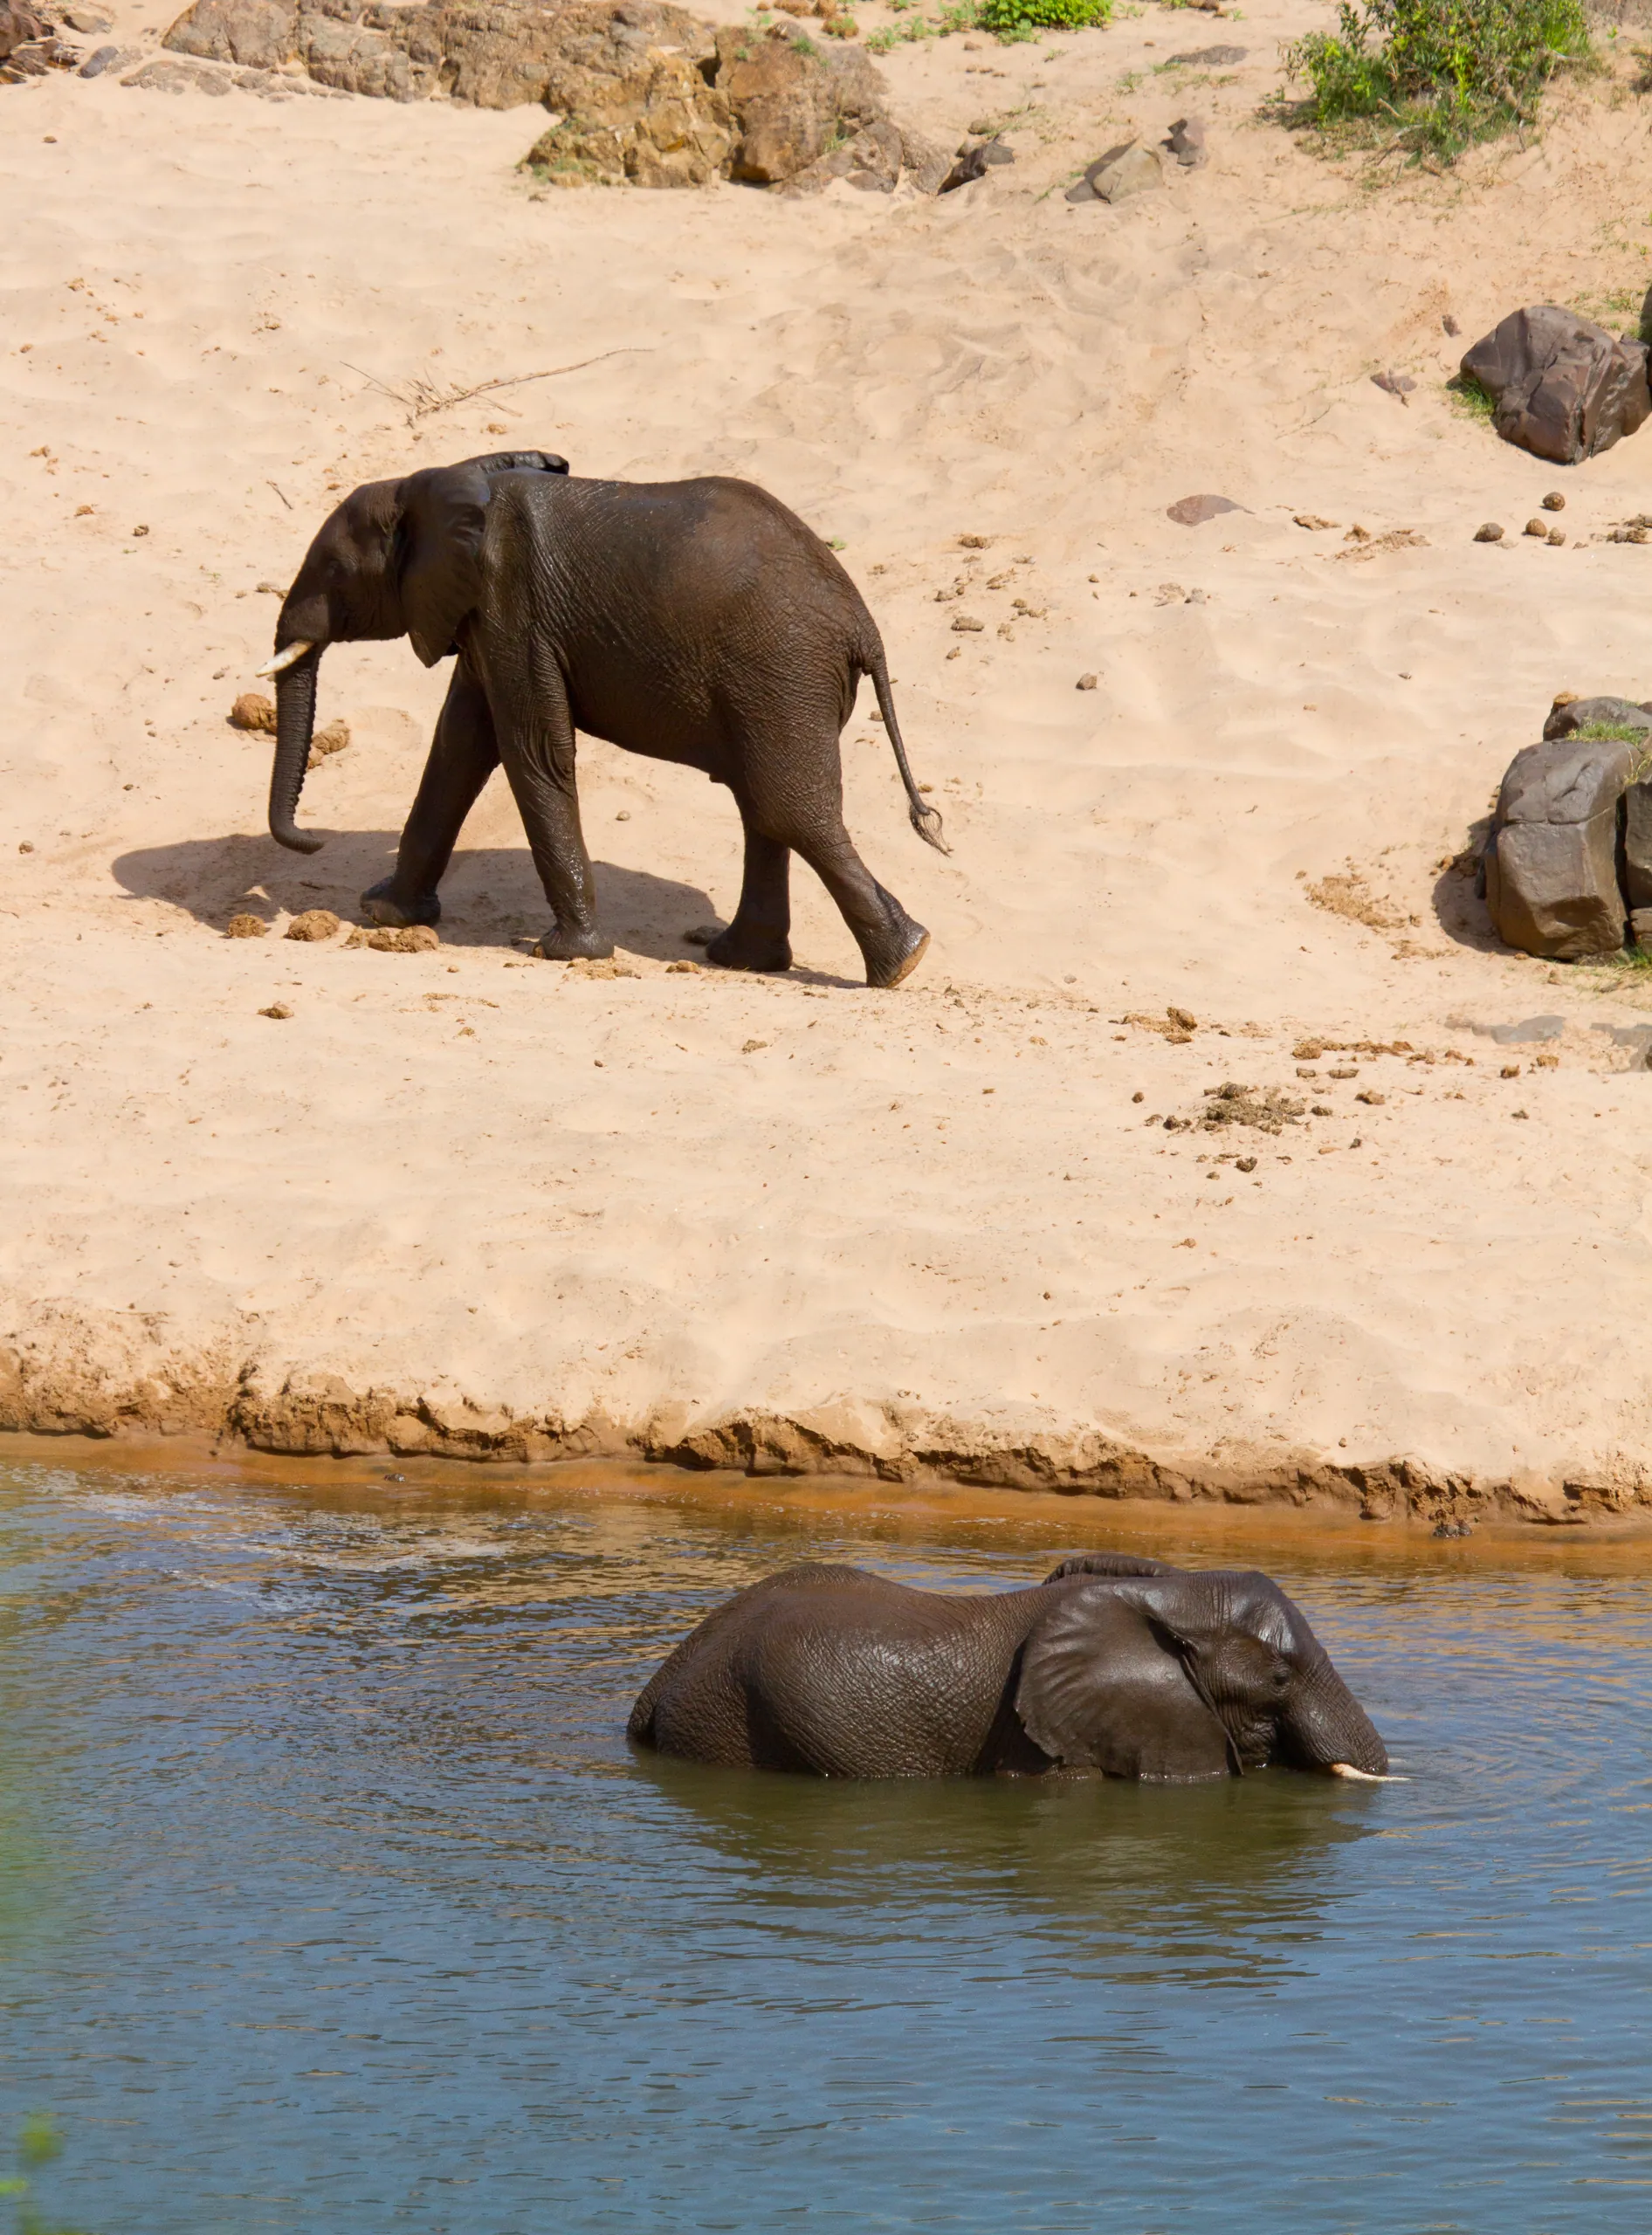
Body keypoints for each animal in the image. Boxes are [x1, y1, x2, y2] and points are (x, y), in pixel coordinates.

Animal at [259, 449, 946, 987]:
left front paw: (566, 954)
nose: (313, 841)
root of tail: (864, 628)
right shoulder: (484, 618)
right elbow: (459, 749)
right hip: (778, 687)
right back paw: (761, 961)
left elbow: (531, 751)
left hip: (782, 673)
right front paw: (385, 914)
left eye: (332, 571)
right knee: (765, 809)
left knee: (787, 811)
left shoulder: (513, 608)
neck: (444, 482)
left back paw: (902, 963)